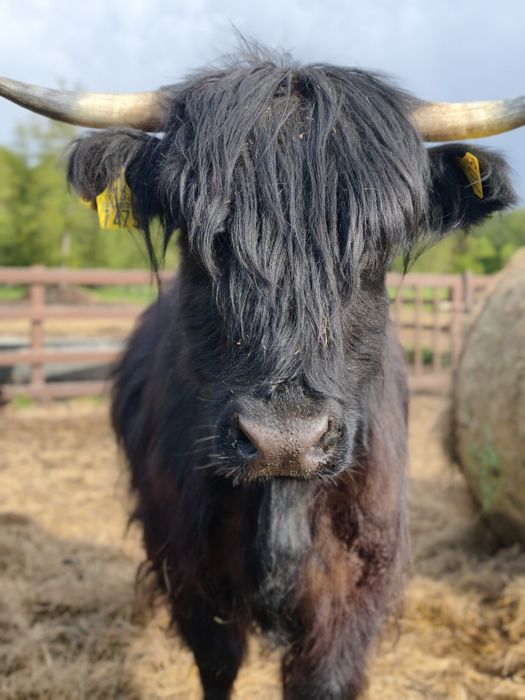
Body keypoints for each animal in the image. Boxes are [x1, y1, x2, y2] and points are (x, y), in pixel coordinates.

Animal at [1, 51, 523, 699]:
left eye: (375, 245)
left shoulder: (353, 590)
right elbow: (218, 667)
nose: (285, 440)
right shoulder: (192, 575)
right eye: (205, 242)